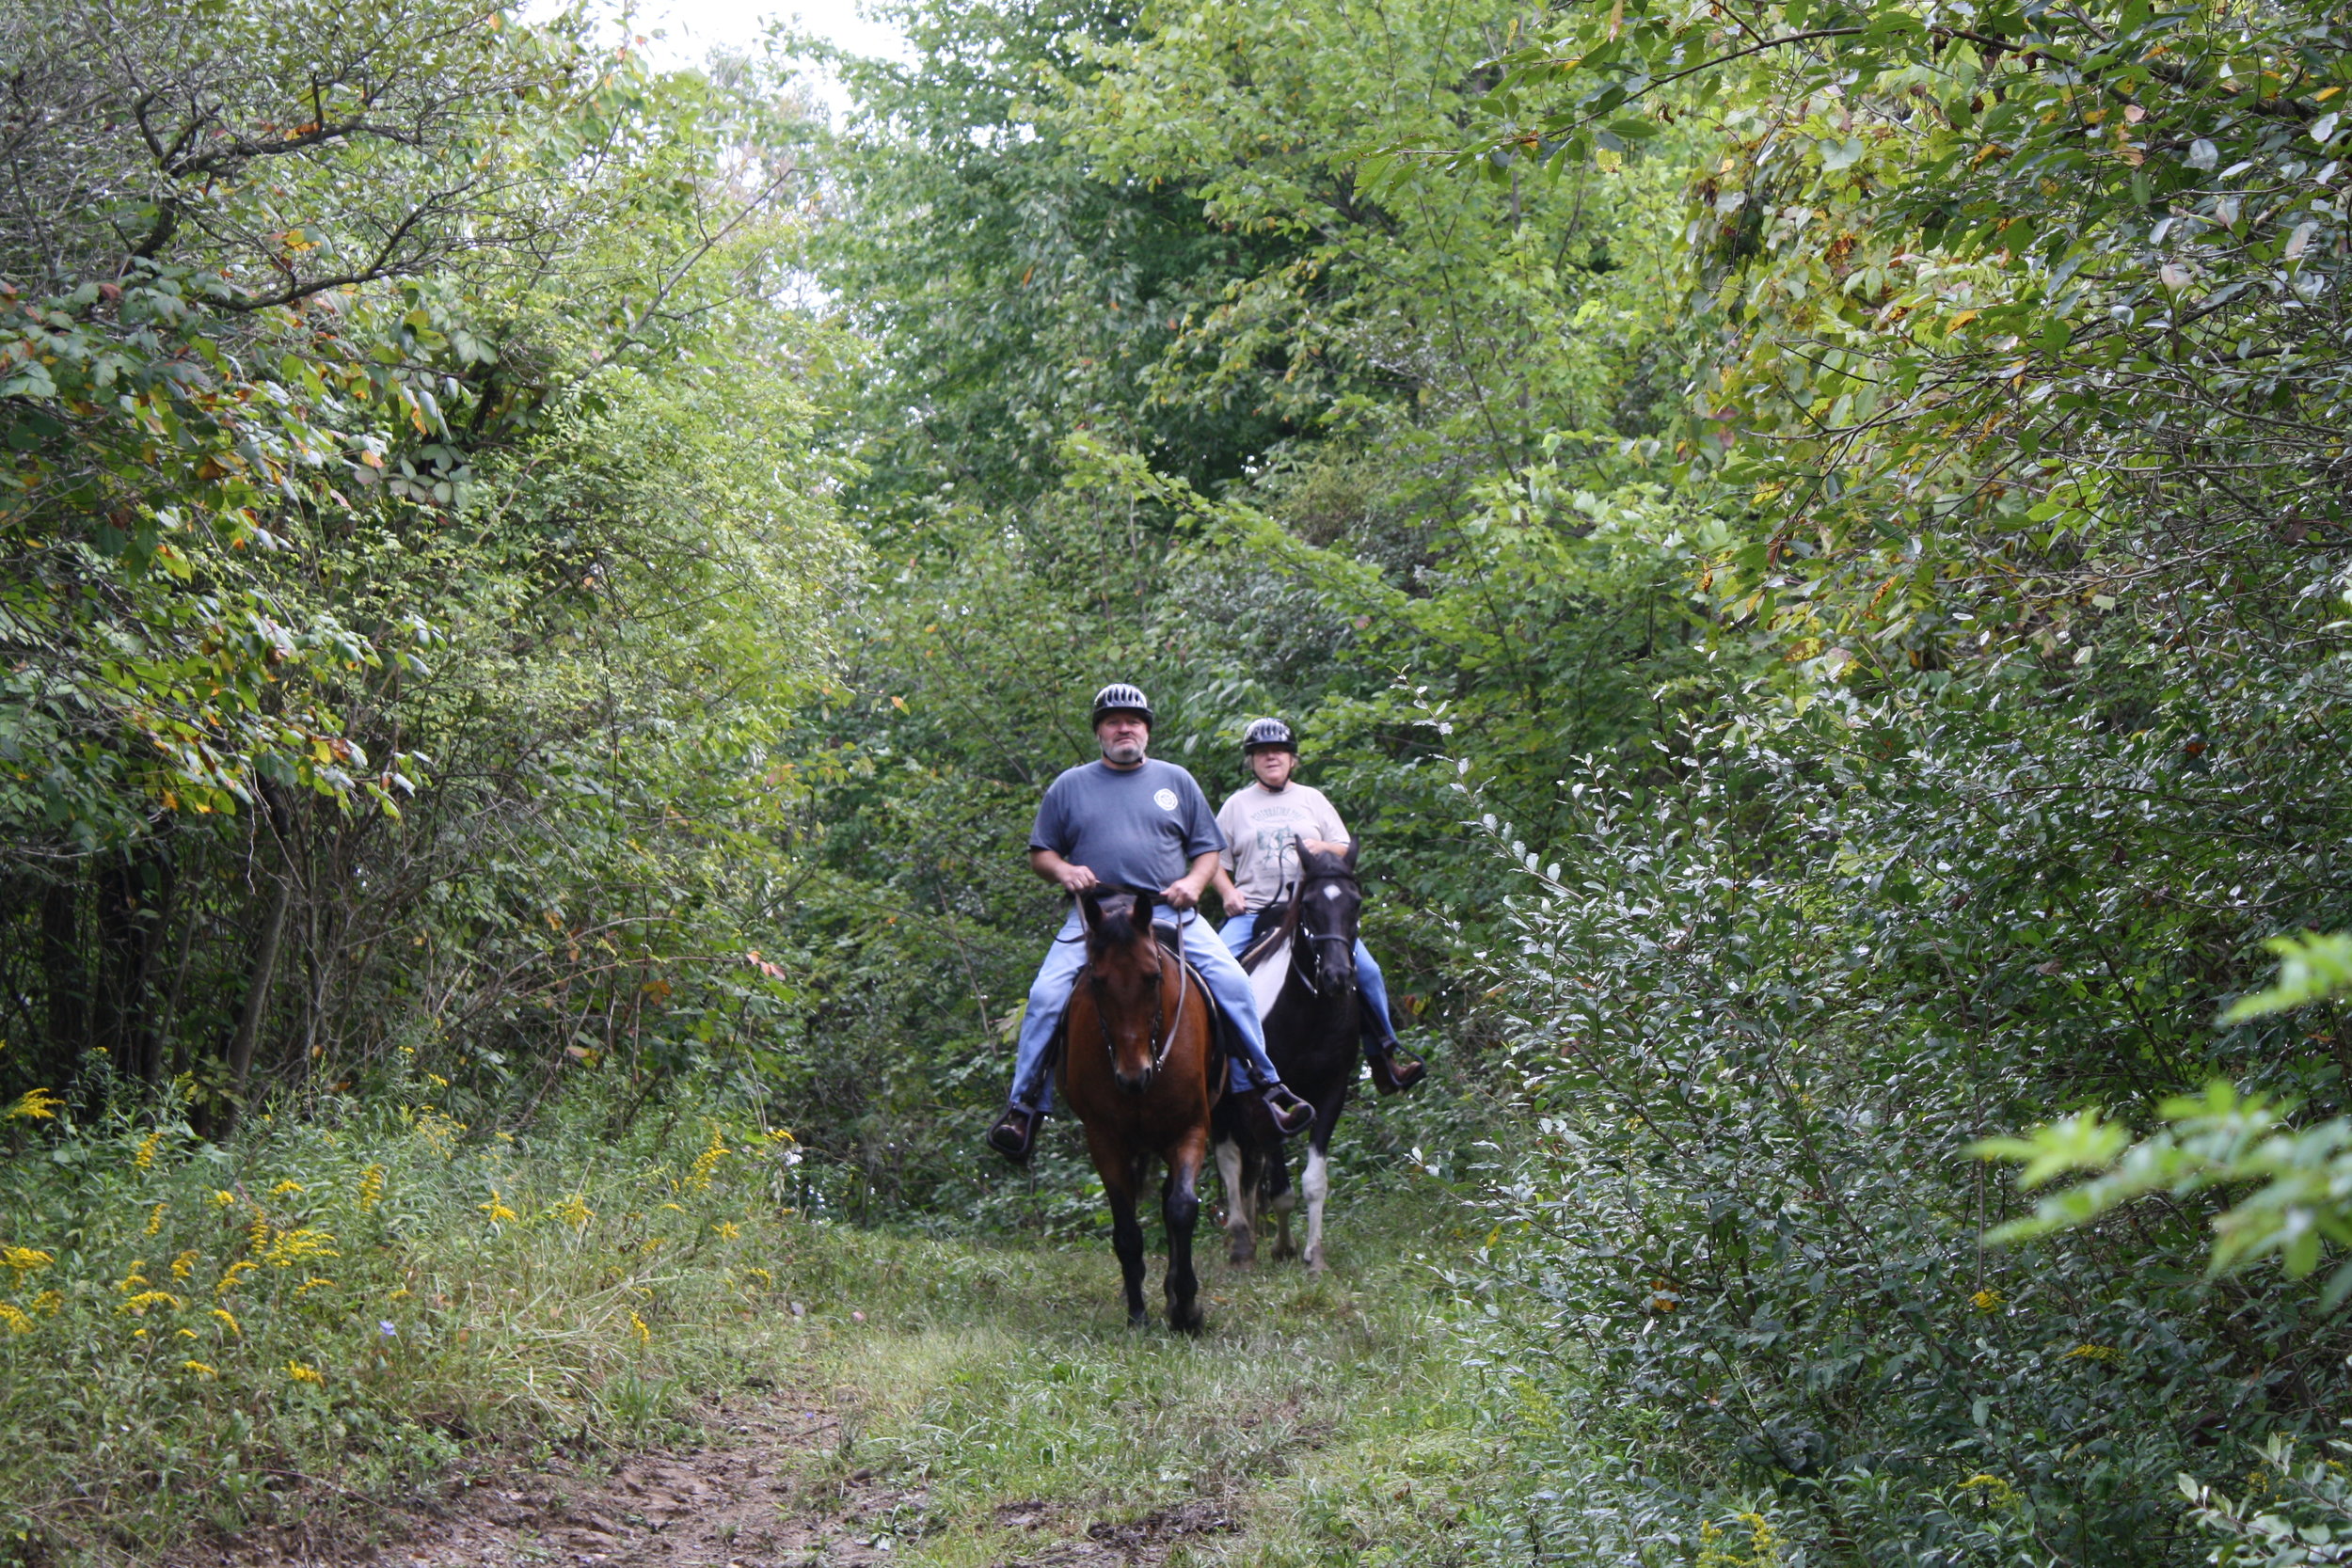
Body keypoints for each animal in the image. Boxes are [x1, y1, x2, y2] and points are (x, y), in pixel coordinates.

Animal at [1058, 888, 1223, 1335]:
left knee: (1169, 1200)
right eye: (1097, 981)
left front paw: (1186, 1308)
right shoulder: (1105, 1141)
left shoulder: (1191, 1128)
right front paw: (1137, 1315)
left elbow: (1182, 1207)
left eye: (1153, 976)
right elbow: (1127, 1231)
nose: (1134, 1077)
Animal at [1214, 841, 1364, 1269]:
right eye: (1309, 905)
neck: (1308, 1015)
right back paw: (1241, 1241)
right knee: (1230, 1158)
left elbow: (1314, 1181)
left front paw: (1315, 1255)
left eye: (1356, 902)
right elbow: (1280, 1188)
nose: (1337, 977)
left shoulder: (1332, 1092)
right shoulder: (1270, 1099)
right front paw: (1283, 1248)